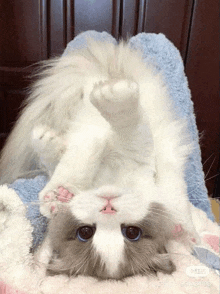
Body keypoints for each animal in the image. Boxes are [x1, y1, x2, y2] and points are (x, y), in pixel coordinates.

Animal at [0, 38, 199, 278]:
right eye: (85, 232)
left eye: (131, 232)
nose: (107, 205)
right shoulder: (99, 145)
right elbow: (72, 162)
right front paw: (57, 193)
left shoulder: (134, 151)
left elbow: (125, 126)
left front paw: (114, 98)